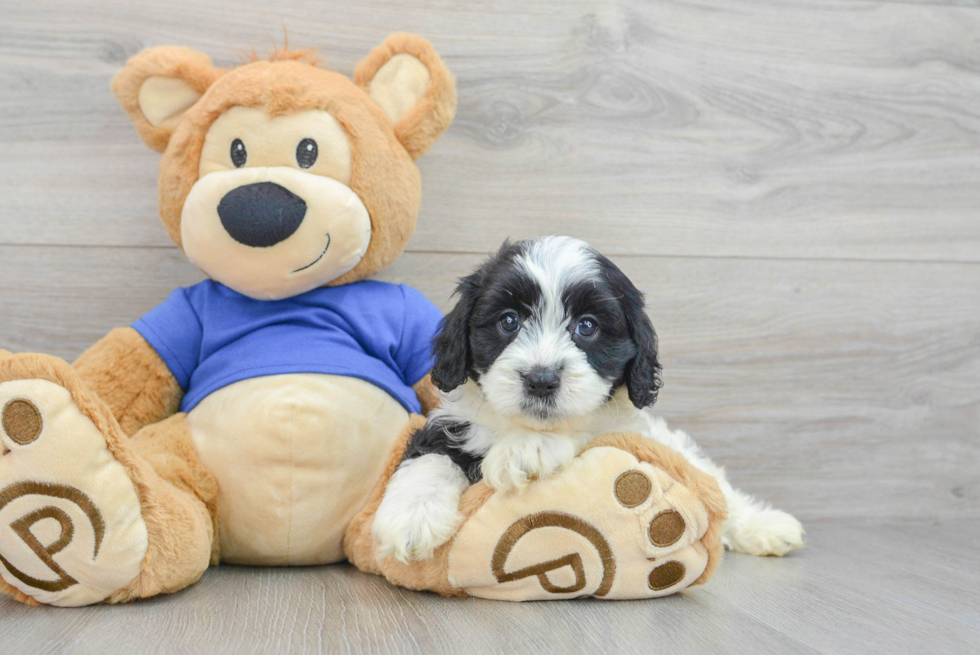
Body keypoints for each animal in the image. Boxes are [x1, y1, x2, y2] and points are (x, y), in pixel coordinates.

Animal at [376, 236, 804, 564]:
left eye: (587, 327)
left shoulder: (623, 431)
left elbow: (585, 430)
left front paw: (526, 449)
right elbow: (429, 456)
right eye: (509, 321)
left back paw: (767, 527)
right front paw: (411, 518)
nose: (541, 380)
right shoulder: (452, 422)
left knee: (716, 486)